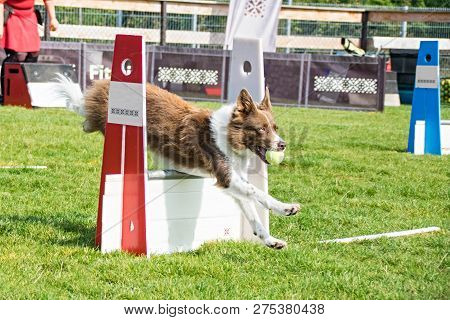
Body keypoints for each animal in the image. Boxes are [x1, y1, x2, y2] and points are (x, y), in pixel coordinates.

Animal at [57, 79, 302, 249]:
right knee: (87, 119)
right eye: (261, 129)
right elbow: (258, 193)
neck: (231, 137)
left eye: (275, 127)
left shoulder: (233, 183)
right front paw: (286, 208)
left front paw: (270, 240)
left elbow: (253, 214)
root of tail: (104, 83)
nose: (283, 145)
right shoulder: (227, 176)